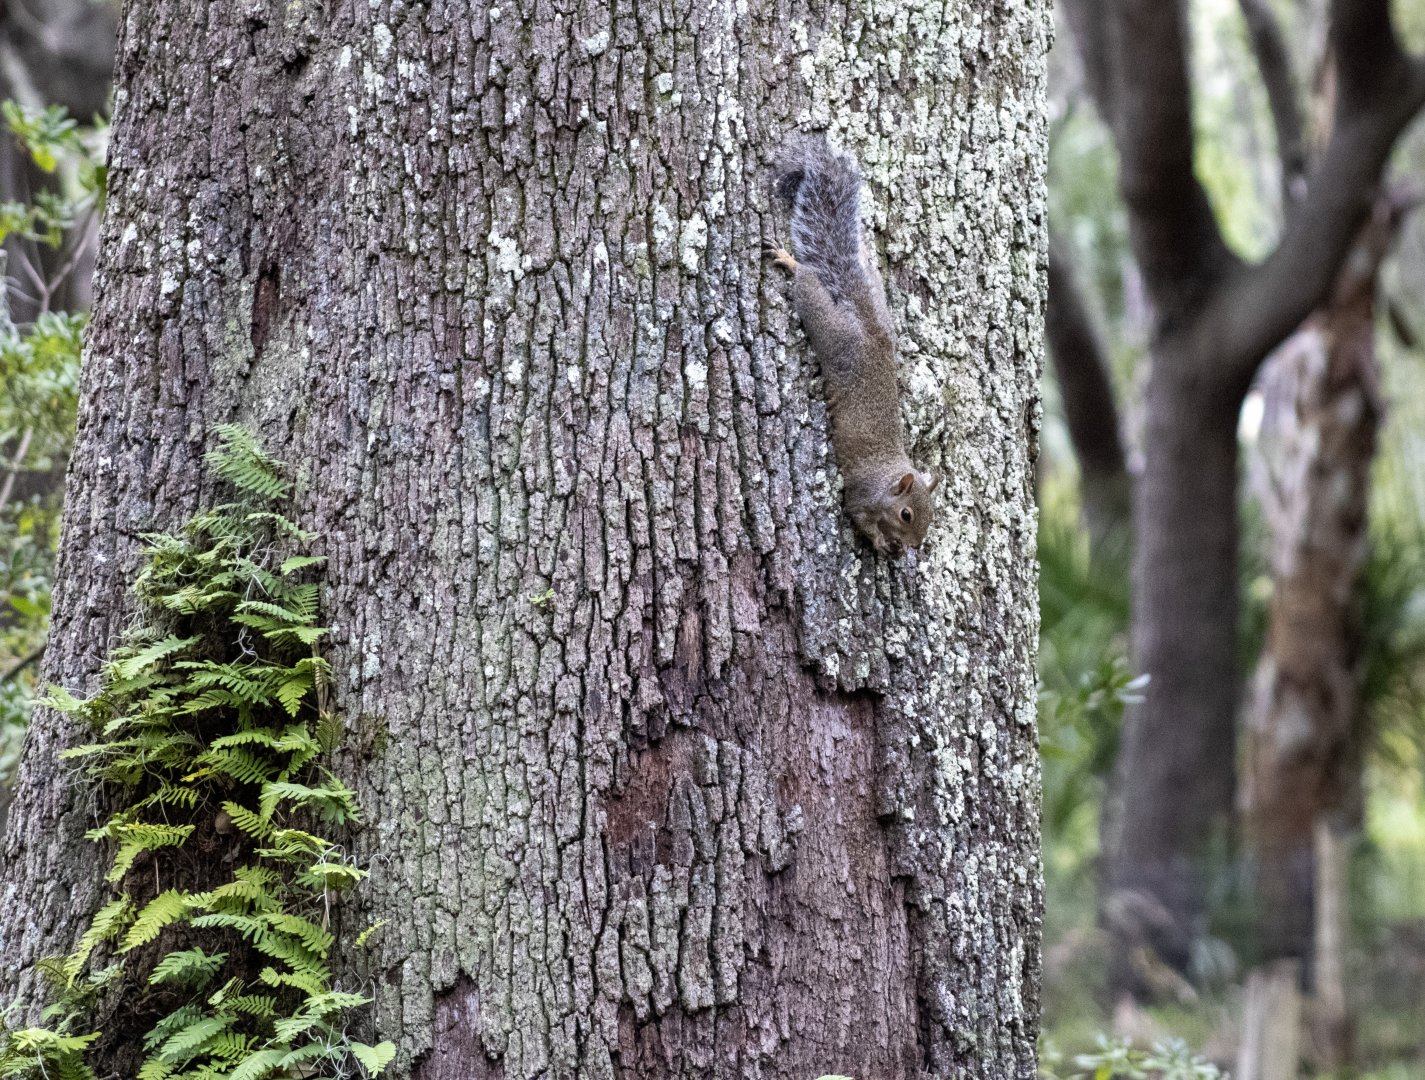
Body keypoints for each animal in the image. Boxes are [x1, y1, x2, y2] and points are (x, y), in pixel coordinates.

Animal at [764, 135, 939, 558]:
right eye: (907, 515)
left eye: (930, 520)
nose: (911, 547)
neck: (887, 478)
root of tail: (866, 322)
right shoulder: (859, 496)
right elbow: (858, 517)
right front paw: (880, 543)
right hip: (831, 331)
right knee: (808, 284)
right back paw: (791, 262)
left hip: (875, 294)